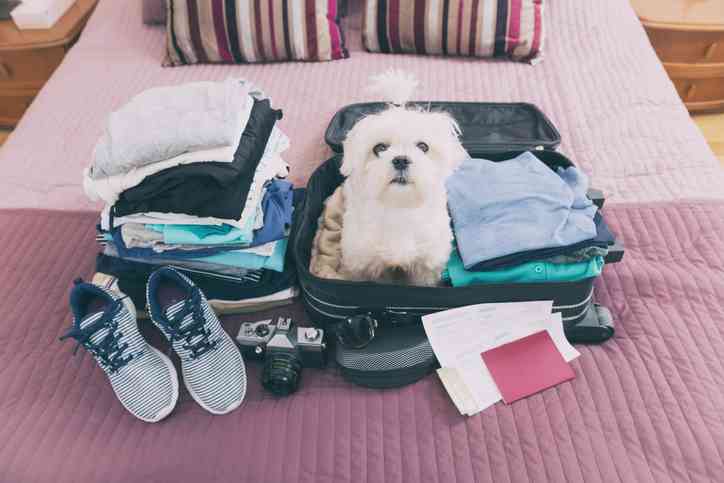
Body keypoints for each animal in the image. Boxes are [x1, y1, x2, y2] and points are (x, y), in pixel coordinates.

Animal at [340, 72, 470, 288]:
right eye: (380, 148)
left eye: (423, 146)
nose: (400, 160)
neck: (400, 207)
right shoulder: (367, 263)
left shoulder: (425, 264)